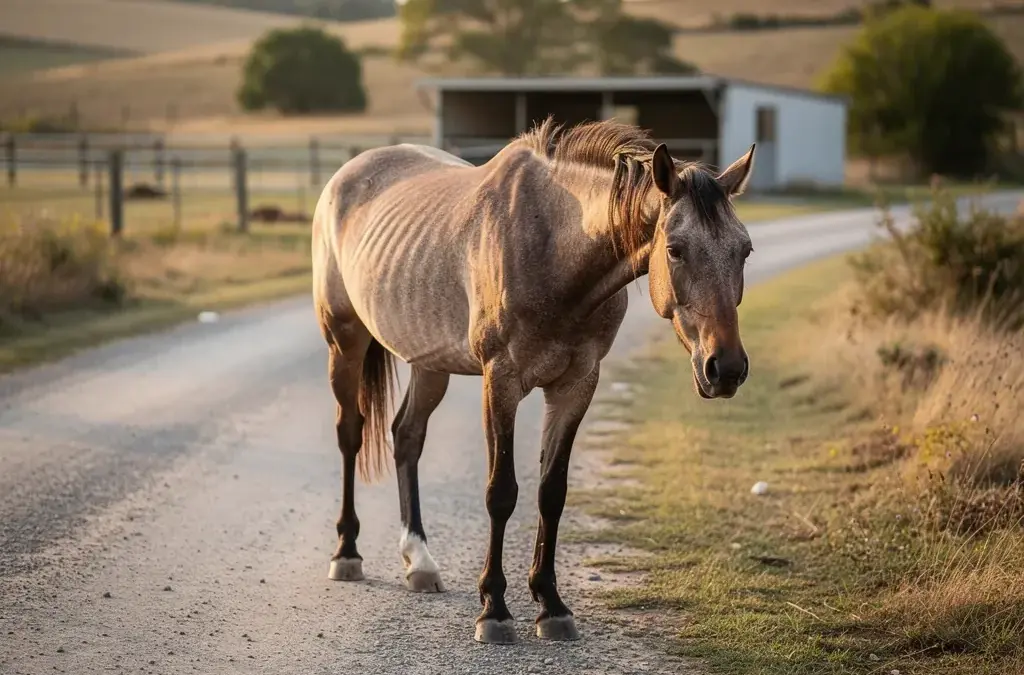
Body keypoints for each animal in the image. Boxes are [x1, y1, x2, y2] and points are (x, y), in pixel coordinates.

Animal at [310, 117, 756, 644]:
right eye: (675, 250)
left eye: (745, 250)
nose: (725, 368)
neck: (553, 249)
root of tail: (346, 175)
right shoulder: (501, 381)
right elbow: (501, 493)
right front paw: (495, 610)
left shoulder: (576, 385)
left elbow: (551, 492)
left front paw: (551, 605)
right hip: (345, 341)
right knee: (351, 434)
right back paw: (347, 552)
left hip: (430, 363)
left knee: (407, 437)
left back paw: (419, 560)